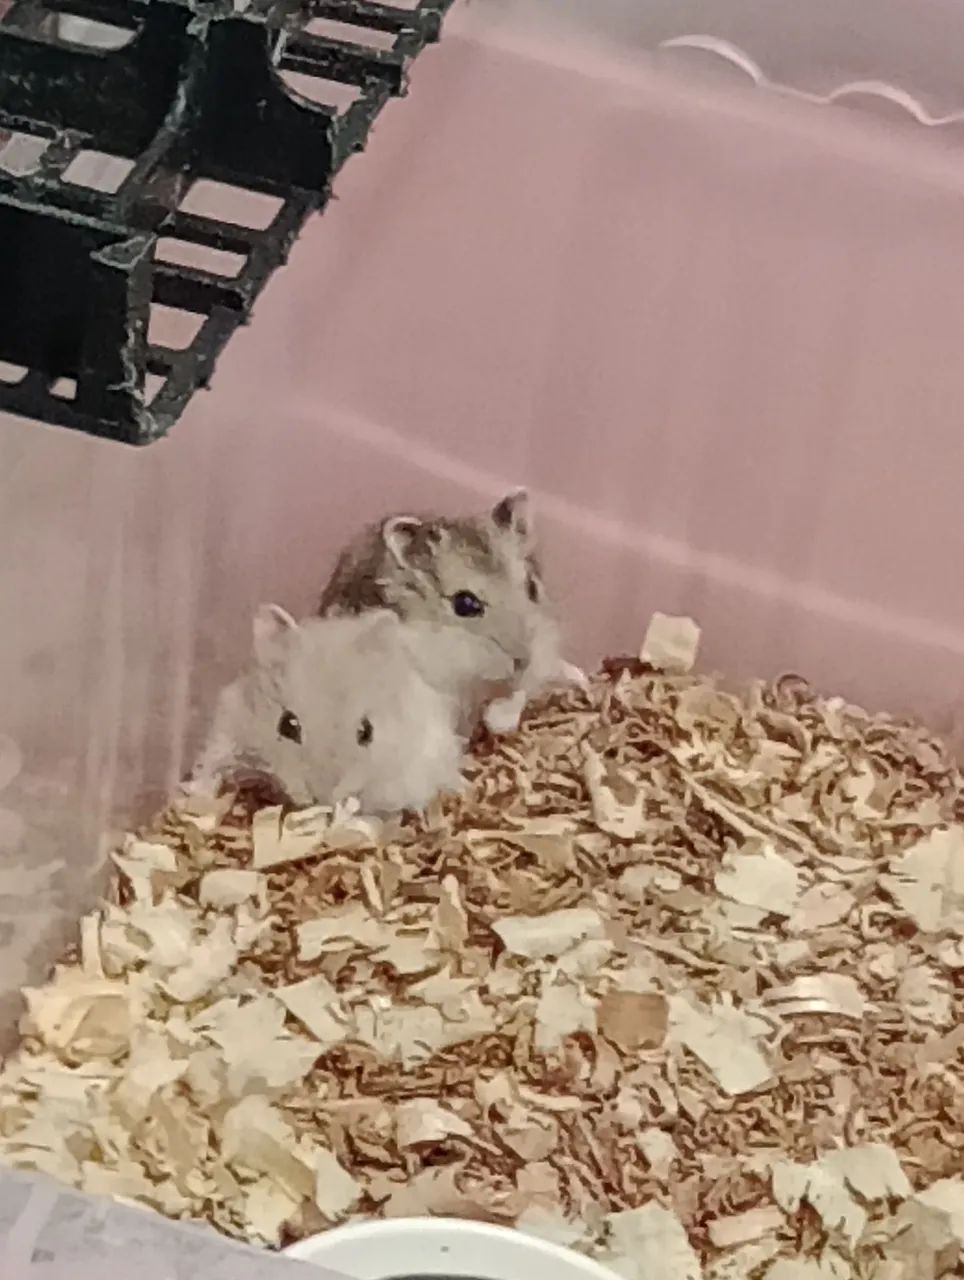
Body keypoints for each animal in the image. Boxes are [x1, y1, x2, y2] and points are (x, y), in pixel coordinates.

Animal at [192, 606, 514, 814]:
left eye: (366, 732)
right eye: (286, 725)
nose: (322, 799)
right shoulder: (229, 720)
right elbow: (214, 762)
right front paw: (199, 793)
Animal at [317, 488, 583, 735]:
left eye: (532, 586)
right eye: (465, 604)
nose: (523, 661)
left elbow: (522, 690)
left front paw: (499, 720)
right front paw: (496, 722)